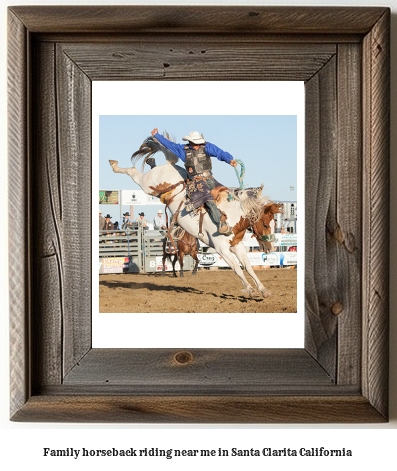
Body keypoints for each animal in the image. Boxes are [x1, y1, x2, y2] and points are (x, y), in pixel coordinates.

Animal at [108, 134, 282, 298]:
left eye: (274, 224)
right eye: (265, 224)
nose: (270, 248)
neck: (232, 217)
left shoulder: (236, 245)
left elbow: (248, 267)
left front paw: (263, 290)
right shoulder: (221, 249)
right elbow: (236, 268)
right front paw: (251, 291)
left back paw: (152, 158)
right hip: (147, 184)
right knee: (133, 172)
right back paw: (115, 165)